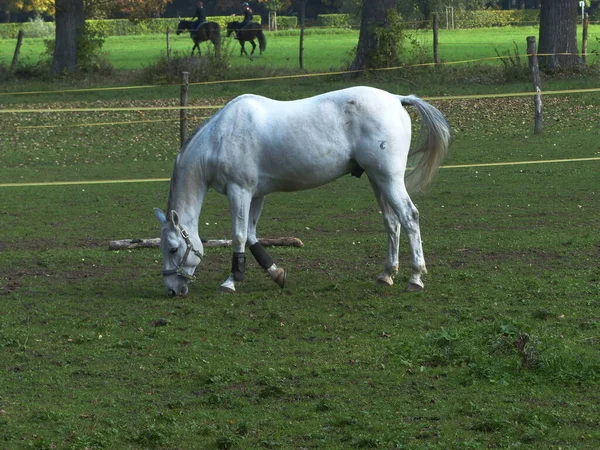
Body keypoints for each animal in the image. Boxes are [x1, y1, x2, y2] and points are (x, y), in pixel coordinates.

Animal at [155, 86, 450, 298]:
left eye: (172, 248)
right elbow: (251, 236)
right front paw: (276, 274)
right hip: (378, 180)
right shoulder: (256, 194)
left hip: (389, 179)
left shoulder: (240, 192)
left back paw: (415, 278)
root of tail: (397, 100)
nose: (172, 290)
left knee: (409, 217)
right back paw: (387, 274)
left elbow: (238, 236)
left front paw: (231, 281)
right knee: (392, 222)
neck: (221, 137)